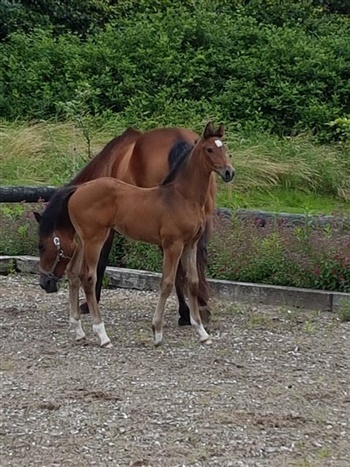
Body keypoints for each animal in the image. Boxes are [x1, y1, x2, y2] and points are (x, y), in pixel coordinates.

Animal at [38, 122, 235, 350]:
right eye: (209, 149)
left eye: (224, 147)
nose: (229, 172)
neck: (182, 196)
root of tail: (79, 189)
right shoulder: (172, 244)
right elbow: (167, 282)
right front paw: (157, 332)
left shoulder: (190, 245)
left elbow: (192, 282)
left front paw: (201, 332)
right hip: (94, 239)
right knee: (87, 277)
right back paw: (102, 335)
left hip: (83, 240)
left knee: (73, 274)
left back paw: (80, 332)